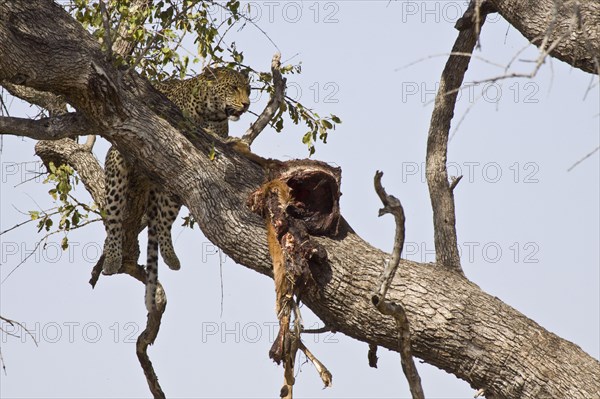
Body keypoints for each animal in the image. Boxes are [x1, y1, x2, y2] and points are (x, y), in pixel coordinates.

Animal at [102, 67, 252, 312]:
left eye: (248, 90)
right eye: (233, 88)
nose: (246, 104)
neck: (210, 112)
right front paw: (234, 141)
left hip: (174, 184)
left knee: (163, 222)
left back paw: (171, 258)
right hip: (117, 167)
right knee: (114, 219)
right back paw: (112, 258)